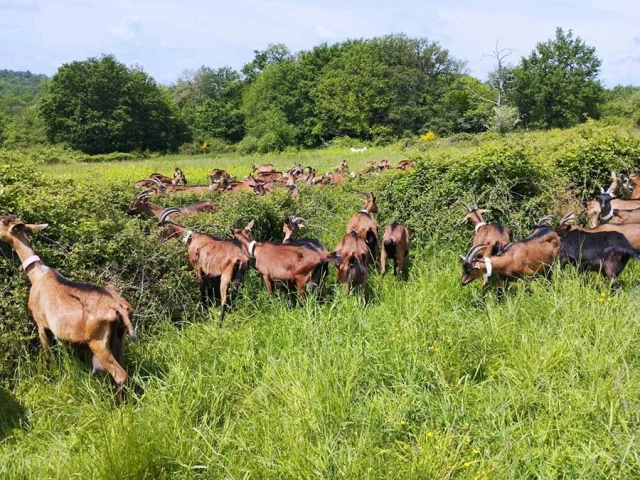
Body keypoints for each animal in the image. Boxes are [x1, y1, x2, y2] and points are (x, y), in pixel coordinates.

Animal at [0, 216, 138, 400]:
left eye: (2, 221)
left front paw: (48, 378)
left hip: (98, 341)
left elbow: (48, 355)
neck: (37, 275)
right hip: (119, 338)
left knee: (121, 375)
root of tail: (119, 308)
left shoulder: (41, 324)